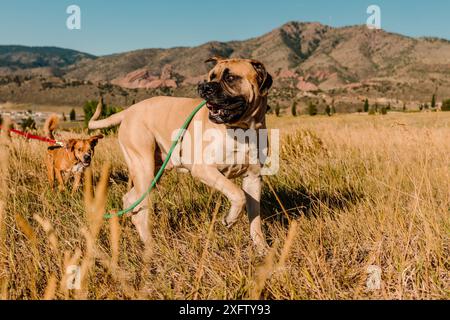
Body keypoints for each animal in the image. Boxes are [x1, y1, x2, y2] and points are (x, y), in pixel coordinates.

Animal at [87, 57, 270, 252]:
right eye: (211, 76)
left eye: (230, 77)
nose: (204, 87)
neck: (242, 130)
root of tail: (129, 110)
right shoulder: (204, 170)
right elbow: (238, 195)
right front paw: (230, 219)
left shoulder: (253, 178)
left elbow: (255, 217)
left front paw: (262, 248)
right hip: (144, 168)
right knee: (140, 209)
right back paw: (150, 246)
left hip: (153, 173)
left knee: (131, 199)